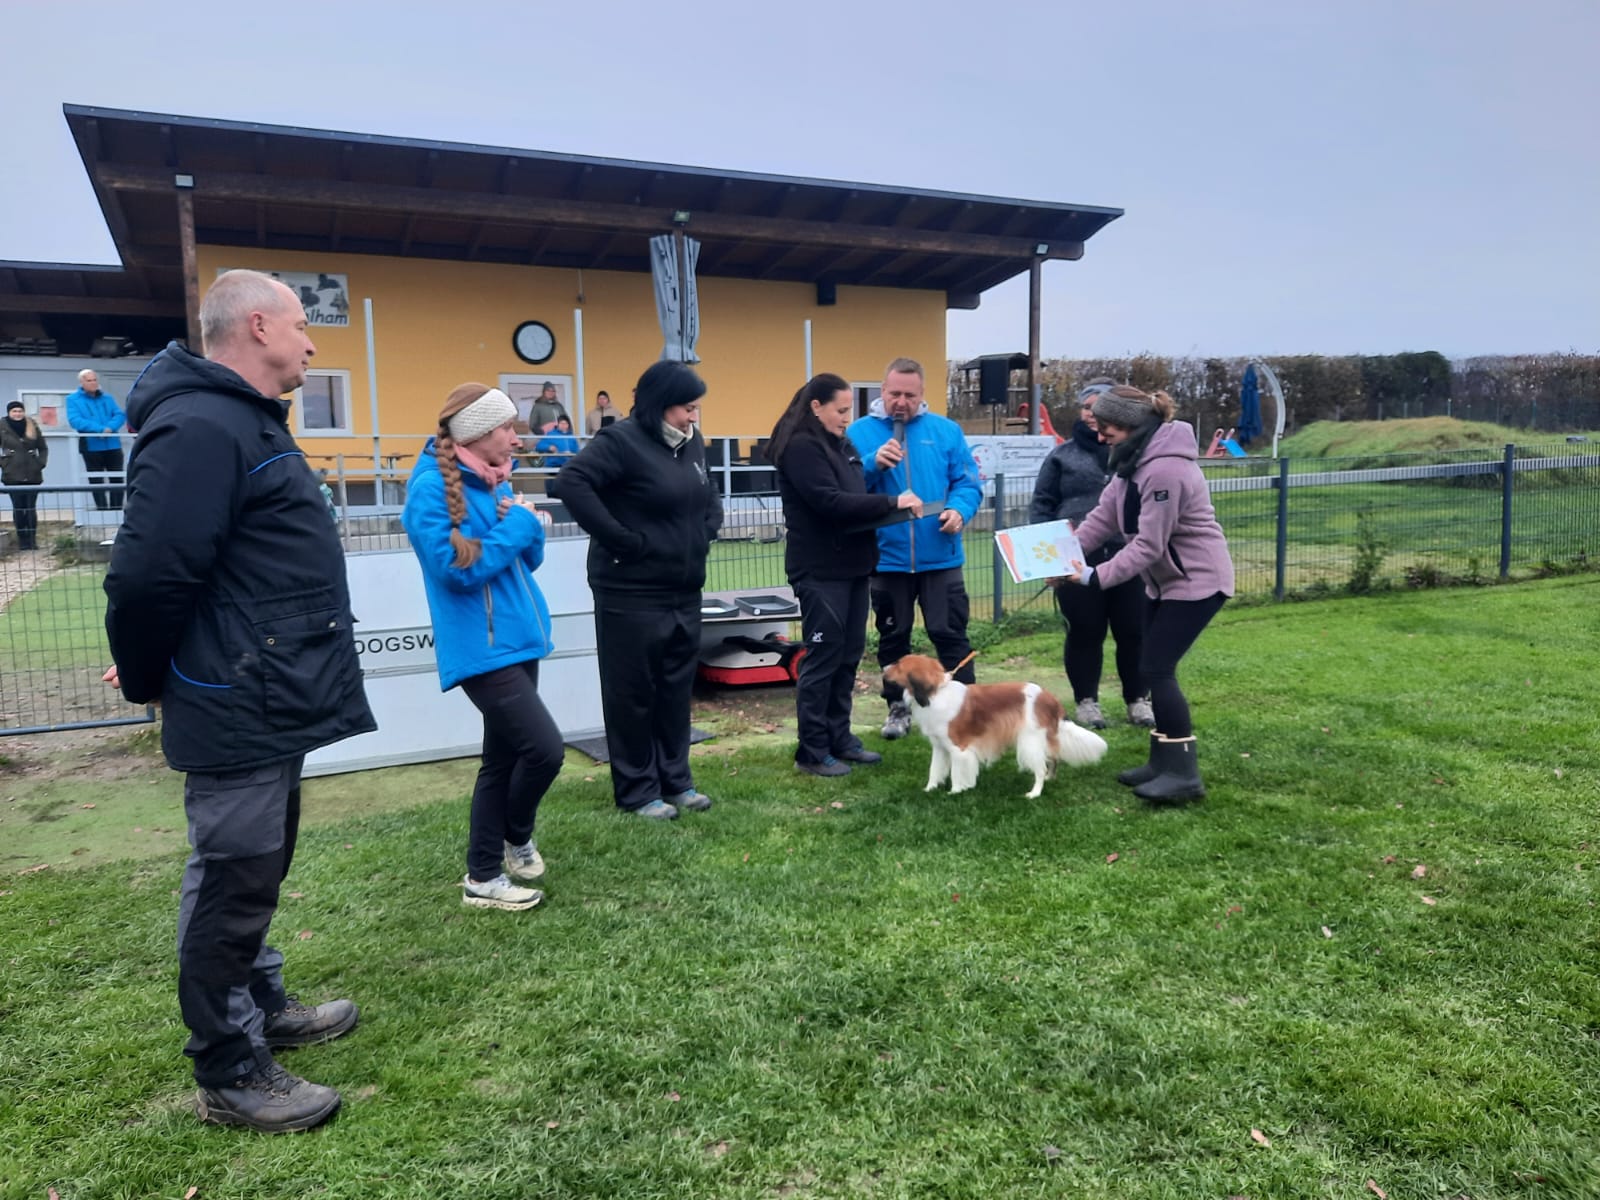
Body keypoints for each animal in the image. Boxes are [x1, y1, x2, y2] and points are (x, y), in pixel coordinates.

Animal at [882, 654, 1107, 798]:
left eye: (898, 664)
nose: (883, 667)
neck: (936, 693)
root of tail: (1050, 698)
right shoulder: (939, 747)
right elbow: (934, 770)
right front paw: (929, 790)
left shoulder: (959, 749)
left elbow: (956, 772)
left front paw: (956, 791)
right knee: (1053, 759)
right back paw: (1050, 779)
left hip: (1030, 741)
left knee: (1041, 767)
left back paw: (1035, 793)